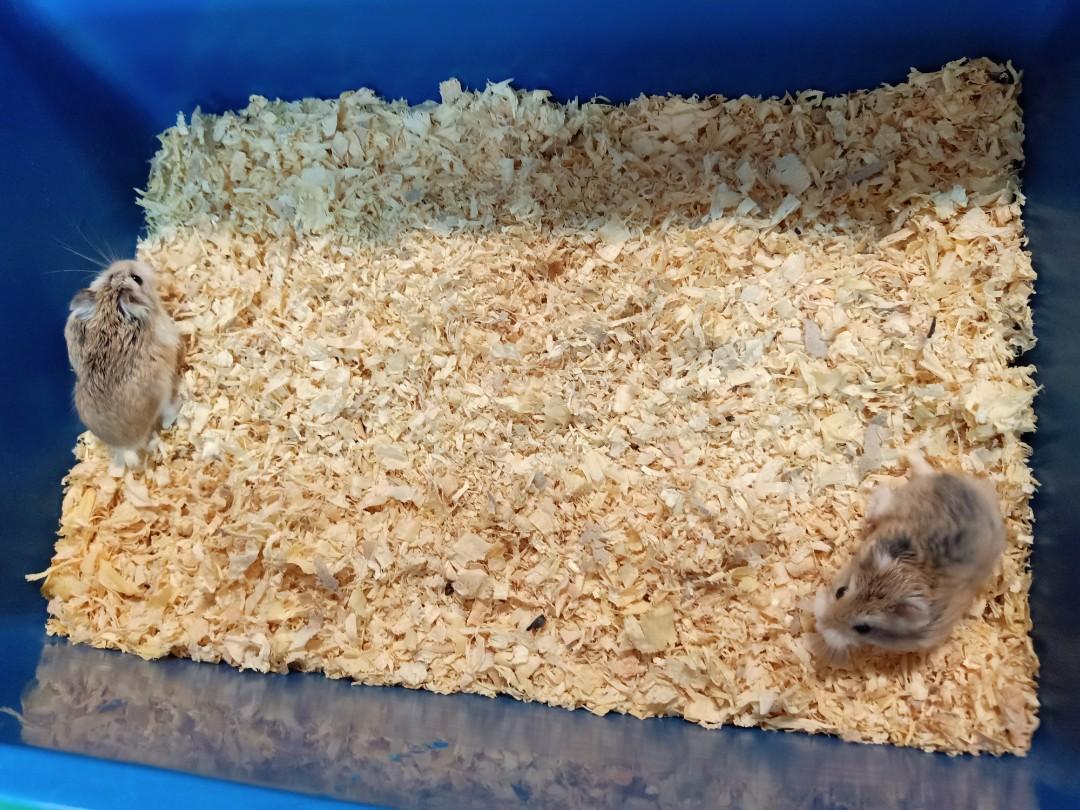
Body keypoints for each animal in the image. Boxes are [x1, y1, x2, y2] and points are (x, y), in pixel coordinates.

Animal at [64, 260, 181, 466]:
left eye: (111, 276)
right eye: (137, 278)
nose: (133, 261)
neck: (111, 309)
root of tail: (126, 446)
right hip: (163, 390)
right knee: (168, 413)